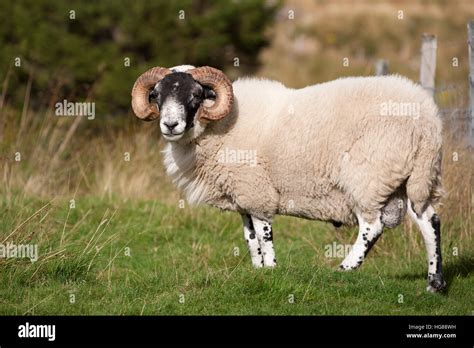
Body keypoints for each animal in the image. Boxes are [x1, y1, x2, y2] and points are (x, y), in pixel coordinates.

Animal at [131, 64, 446, 290]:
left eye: (195, 95)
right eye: (157, 95)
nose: (170, 125)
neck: (217, 127)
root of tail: (428, 120)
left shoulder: (257, 191)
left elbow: (263, 233)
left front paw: (271, 269)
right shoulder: (243, 195)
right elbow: (249, 237)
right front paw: (257, 269)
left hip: (369, 177)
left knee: (373, 226)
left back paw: (344, 269)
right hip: (412, 178)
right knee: (429, 220)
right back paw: (435, 282)